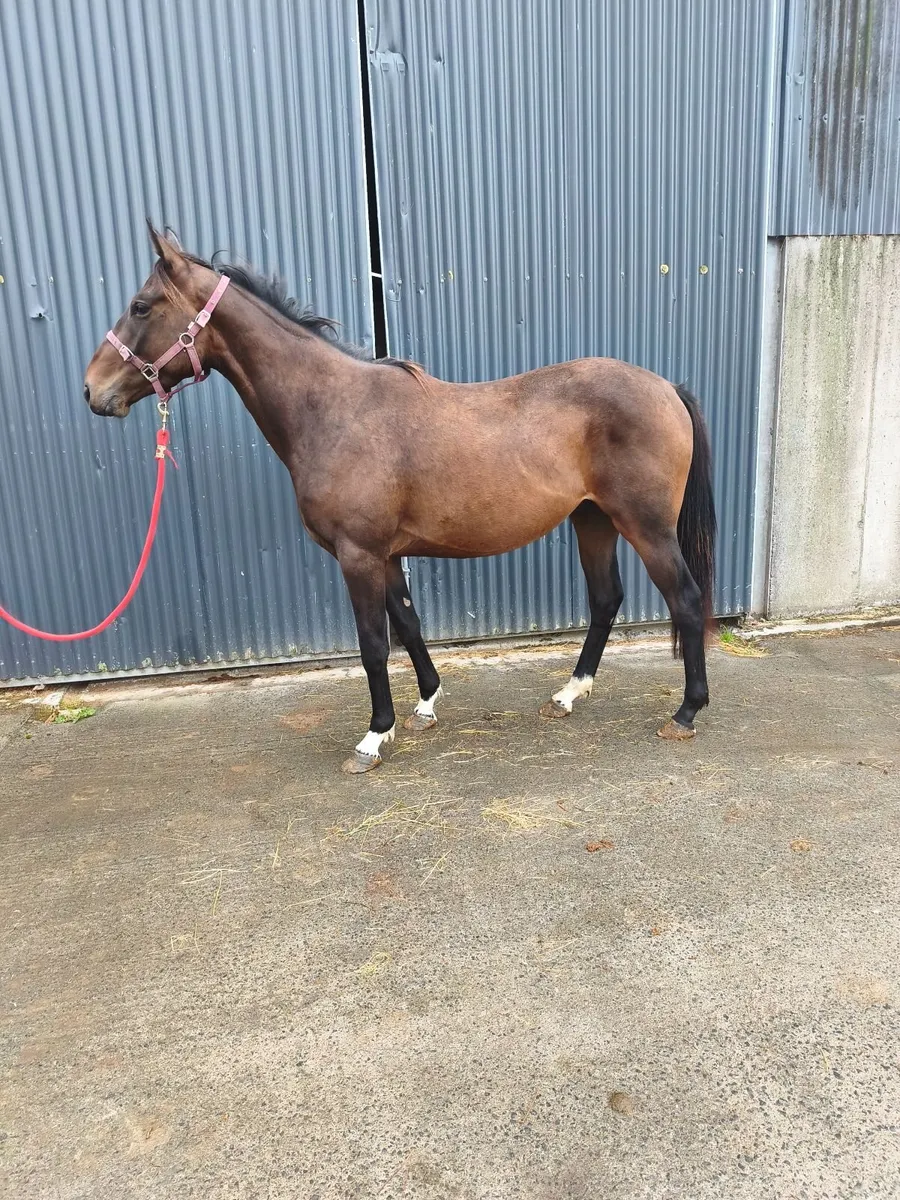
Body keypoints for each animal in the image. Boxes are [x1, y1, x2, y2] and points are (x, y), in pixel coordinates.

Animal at [84, 226, 716, 774]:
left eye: (141, 306)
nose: (92, 390)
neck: (335, 409)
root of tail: (666, 387)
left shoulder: (358, 555)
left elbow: (372, 645)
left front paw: (372, 737)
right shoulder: (385, 555)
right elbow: (408, 625)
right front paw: (424, 706)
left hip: (644, 526)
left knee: (684, 599)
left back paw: (686, 712)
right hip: (593, 520)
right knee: (606, 599)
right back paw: (567, 695)